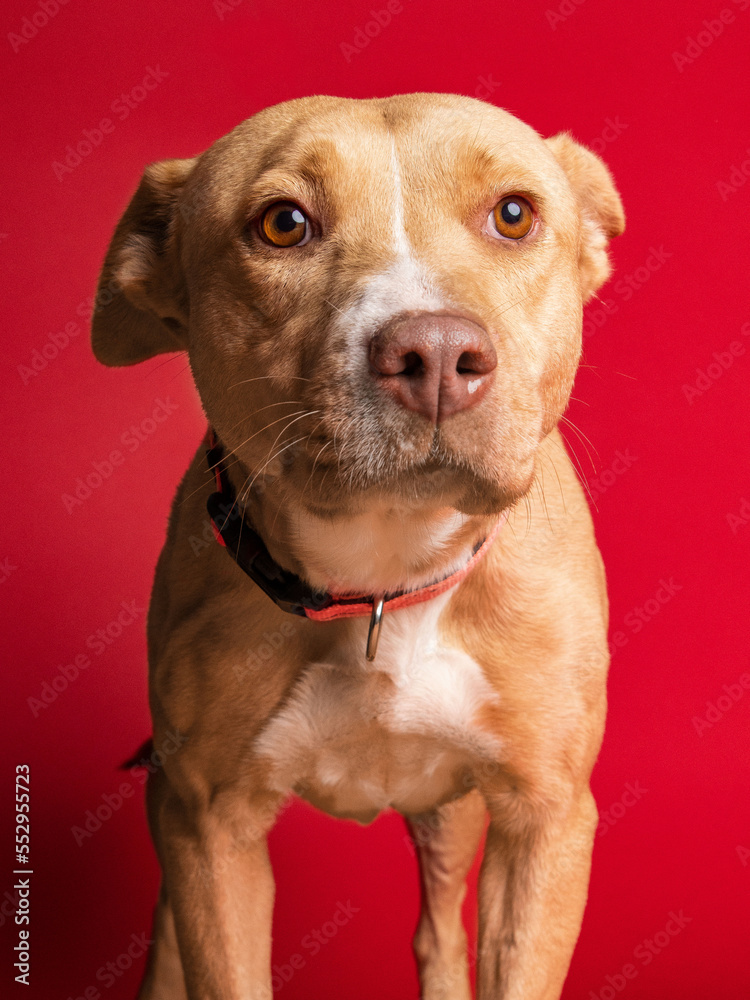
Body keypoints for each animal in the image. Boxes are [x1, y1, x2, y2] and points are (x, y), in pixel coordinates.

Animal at [92, 95, 624, 1000]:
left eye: (514, 214)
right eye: (282, 224)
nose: (436, 353)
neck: (385, 577)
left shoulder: (545, 821)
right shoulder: (207, 827)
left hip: (451, 820)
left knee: (439, 932)